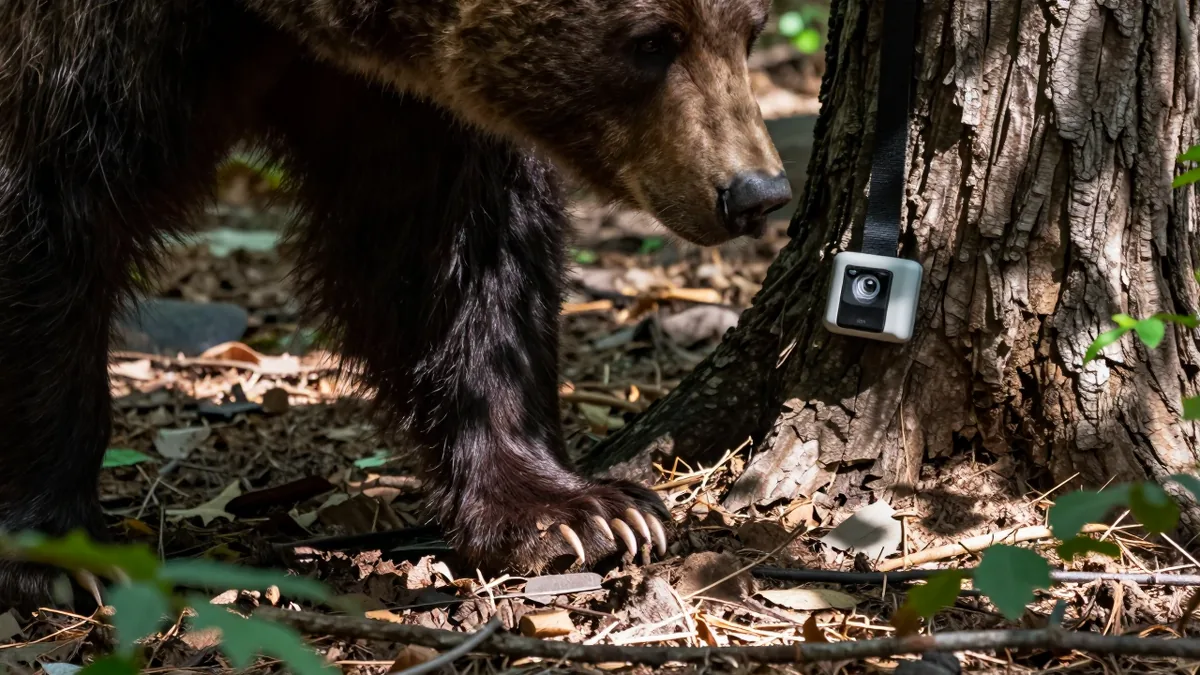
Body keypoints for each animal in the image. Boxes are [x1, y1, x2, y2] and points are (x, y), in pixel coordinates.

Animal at [0, 0, 791, 608]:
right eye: (651, 40)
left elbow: (452, 256)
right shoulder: (92, 56)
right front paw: (54, 552)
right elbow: (51, 211)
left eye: (750, 29)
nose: (755, 191)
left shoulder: (395, 101)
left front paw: (583, 514)